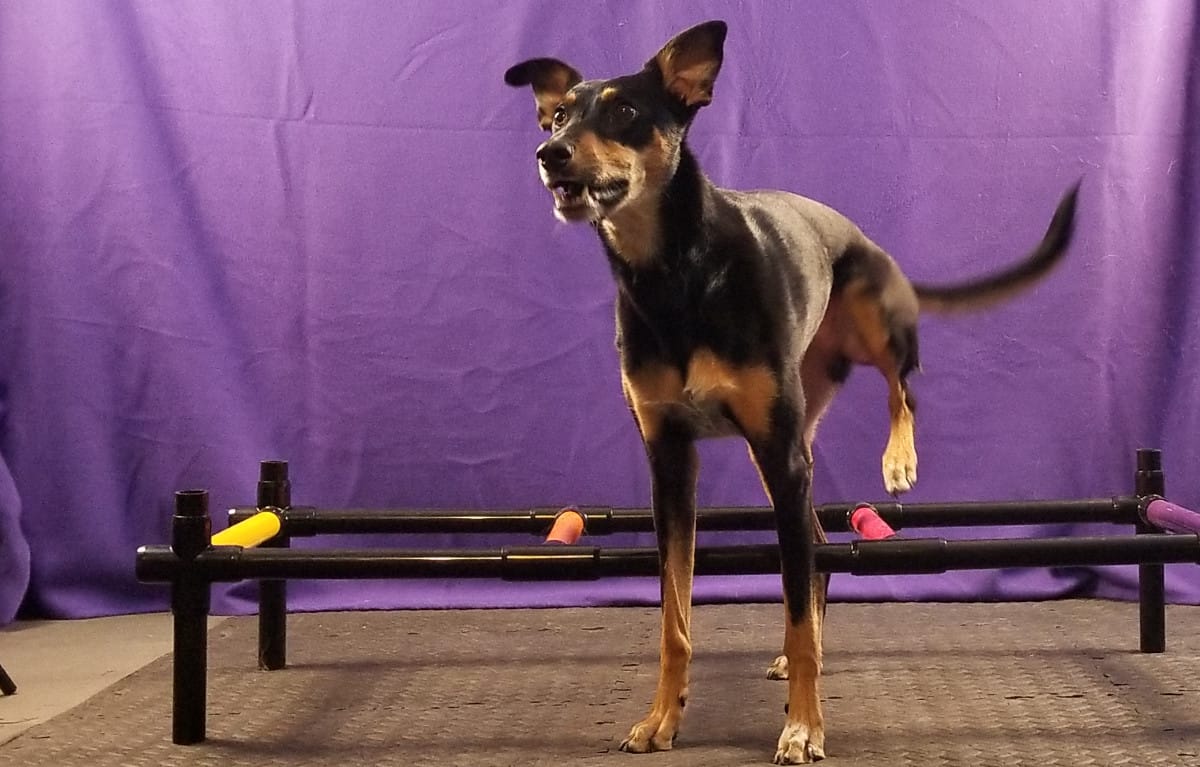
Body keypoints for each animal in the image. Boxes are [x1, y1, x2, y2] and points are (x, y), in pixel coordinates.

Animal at [506, 21, 1080, 763]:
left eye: (624, 111)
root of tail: (866, 240)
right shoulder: (672, 463)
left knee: (901, 394)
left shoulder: (780, 454)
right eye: (558, 116)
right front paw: (662, 717)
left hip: (864, 331)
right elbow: (676, 615)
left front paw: (805, 726)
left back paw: (899, 460)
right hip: (782, 445)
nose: (549, 154)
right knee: (815, 549)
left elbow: (796, 606)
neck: (676, 273)